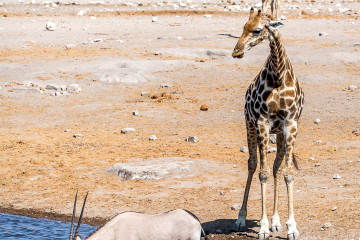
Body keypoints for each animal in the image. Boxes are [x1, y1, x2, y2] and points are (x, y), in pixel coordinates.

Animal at [231, 7, 304, 240]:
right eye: (243, 26)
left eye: (257, 30)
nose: (236, 52)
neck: (279, 77)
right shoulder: (262, 122)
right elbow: (261, 172)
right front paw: (262, 227)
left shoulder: (290, 124)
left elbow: (287, 173)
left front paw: (291, 227)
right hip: (250, 125)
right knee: (253, 164)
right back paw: (241, 218)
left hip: (278, 134)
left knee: (276, 168)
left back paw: (276, 221)